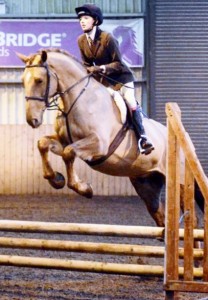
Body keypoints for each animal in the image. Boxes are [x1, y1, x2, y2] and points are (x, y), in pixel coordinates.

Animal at [16, 48, 203, 230]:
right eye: (23, 81)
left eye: (39, 80)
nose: (32, 120)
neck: (77, 100)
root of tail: (187, 140)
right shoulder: (64, 142)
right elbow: (43, 144)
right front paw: (56, 179)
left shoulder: (98, 144)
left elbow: (69, 153)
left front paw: (85, 189)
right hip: (146, 183)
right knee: (160, 216)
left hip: (180, 180)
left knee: (192, 218)